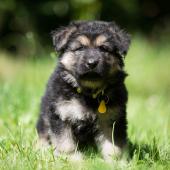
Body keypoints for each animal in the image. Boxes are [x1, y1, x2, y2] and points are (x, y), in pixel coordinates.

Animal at [36, 20, 131, 161]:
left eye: (103, 48)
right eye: (80, 48)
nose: (92, 63)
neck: (89, 93)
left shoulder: (111, 119)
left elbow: (113, 145)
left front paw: (115, 161)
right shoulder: (60, 115)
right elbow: (65, 143)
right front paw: (73, 160)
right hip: (44, 118)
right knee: (42, 134)